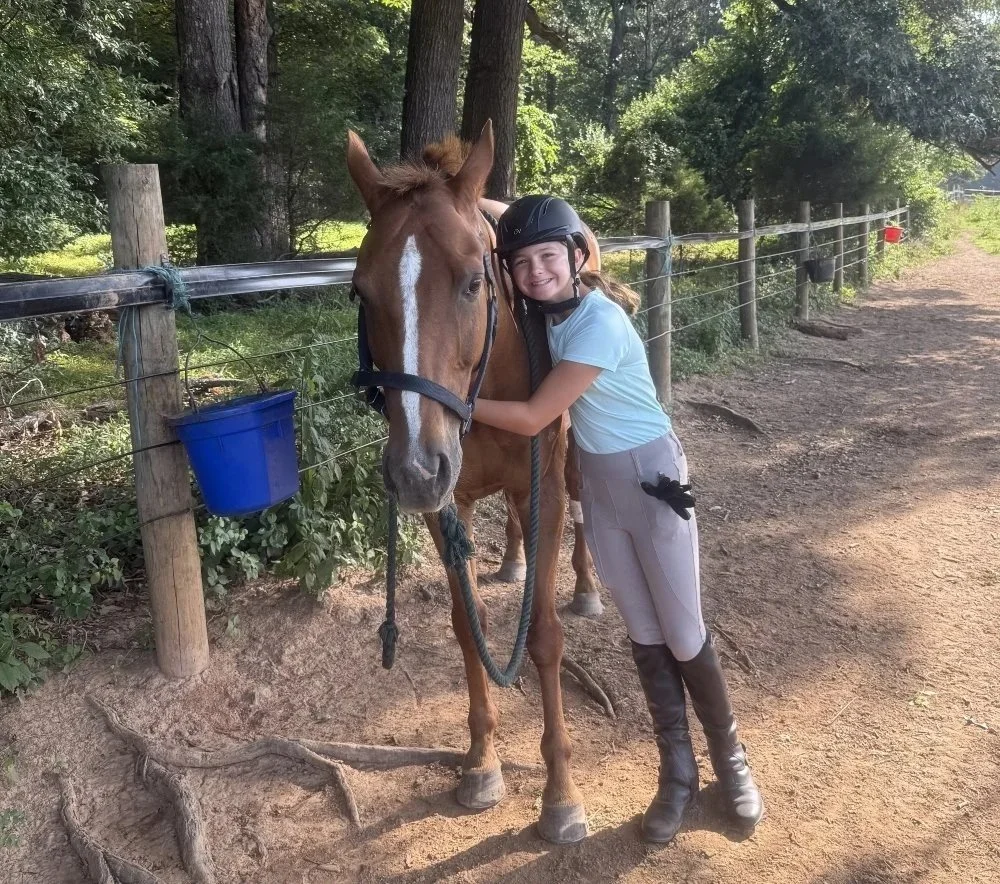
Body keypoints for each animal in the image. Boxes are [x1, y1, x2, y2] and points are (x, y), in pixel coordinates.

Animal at [345, 121, 602, 843]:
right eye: (361, 292)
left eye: (469, 283)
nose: (412, 470)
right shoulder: (445, 502)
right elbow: (468, 627)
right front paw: (482, 762)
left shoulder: (543, 488)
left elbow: (541, 634)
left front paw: (561, 795)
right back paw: (513, 560)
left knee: (583, 518)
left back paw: (587, 586)